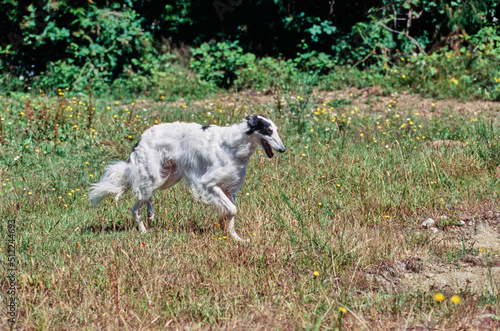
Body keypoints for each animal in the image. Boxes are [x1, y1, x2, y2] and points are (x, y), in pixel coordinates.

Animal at [89, 115, 286, 243]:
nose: (283, 149)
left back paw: (151, 213)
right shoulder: (208, 184)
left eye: (276, 130)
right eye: (268, 130)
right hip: (154, 176)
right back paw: (144, 231)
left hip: (167, 176)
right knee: (135, 207)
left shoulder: (230, 189)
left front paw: (237, 238)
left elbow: (231, 214)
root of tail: (141, 138)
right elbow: (232, 210)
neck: (234, 145)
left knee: (146, 197)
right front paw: (225, 225)